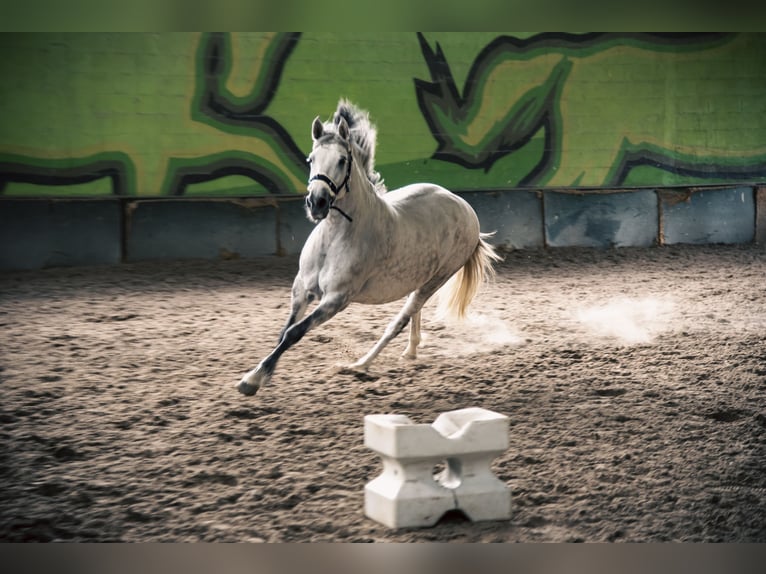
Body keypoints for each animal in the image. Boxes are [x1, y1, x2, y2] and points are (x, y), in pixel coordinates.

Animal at [237, 100, 501, 396]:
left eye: (342, 160)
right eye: (311, 159)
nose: (317, 203)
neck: (335, 238)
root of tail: (466, 209)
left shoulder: (337, 299)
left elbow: (295, 332)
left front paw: (253, 380)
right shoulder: (301, 289)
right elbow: (284, 331)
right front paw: (263, 373)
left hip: (437, 280)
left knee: (400, 321)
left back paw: (360, 365)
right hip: (420, 278)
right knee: (414, 313)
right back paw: (410, 351)